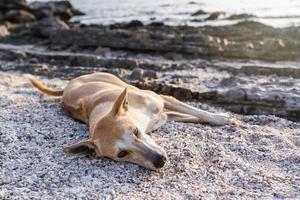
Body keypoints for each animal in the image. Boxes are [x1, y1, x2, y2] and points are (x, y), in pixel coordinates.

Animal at [29, 72, 238, 170]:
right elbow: (189, 115)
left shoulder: (163, 101)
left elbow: (199, 113)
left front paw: (222, 118)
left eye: (136, 132)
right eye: (122, 154)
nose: (160, 161)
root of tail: (66, 86)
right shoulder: (165, 116)